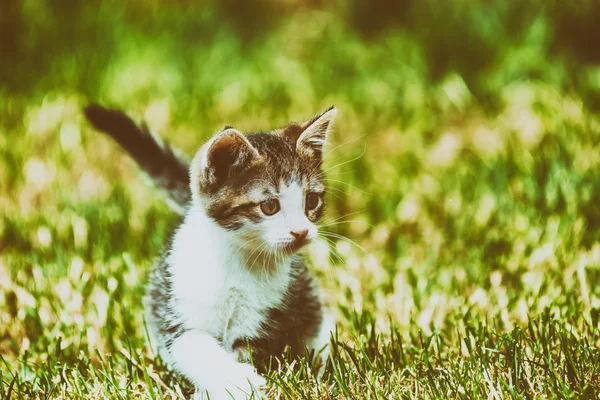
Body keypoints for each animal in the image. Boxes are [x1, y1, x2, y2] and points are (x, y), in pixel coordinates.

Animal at [84, 105, 338, 400]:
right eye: (269, 206)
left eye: (312, 200)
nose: (301, 231)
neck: (237, 261)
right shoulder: (177, 307)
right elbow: (191, 347)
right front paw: (237, 382)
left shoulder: (268, 317)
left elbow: (249, 349)